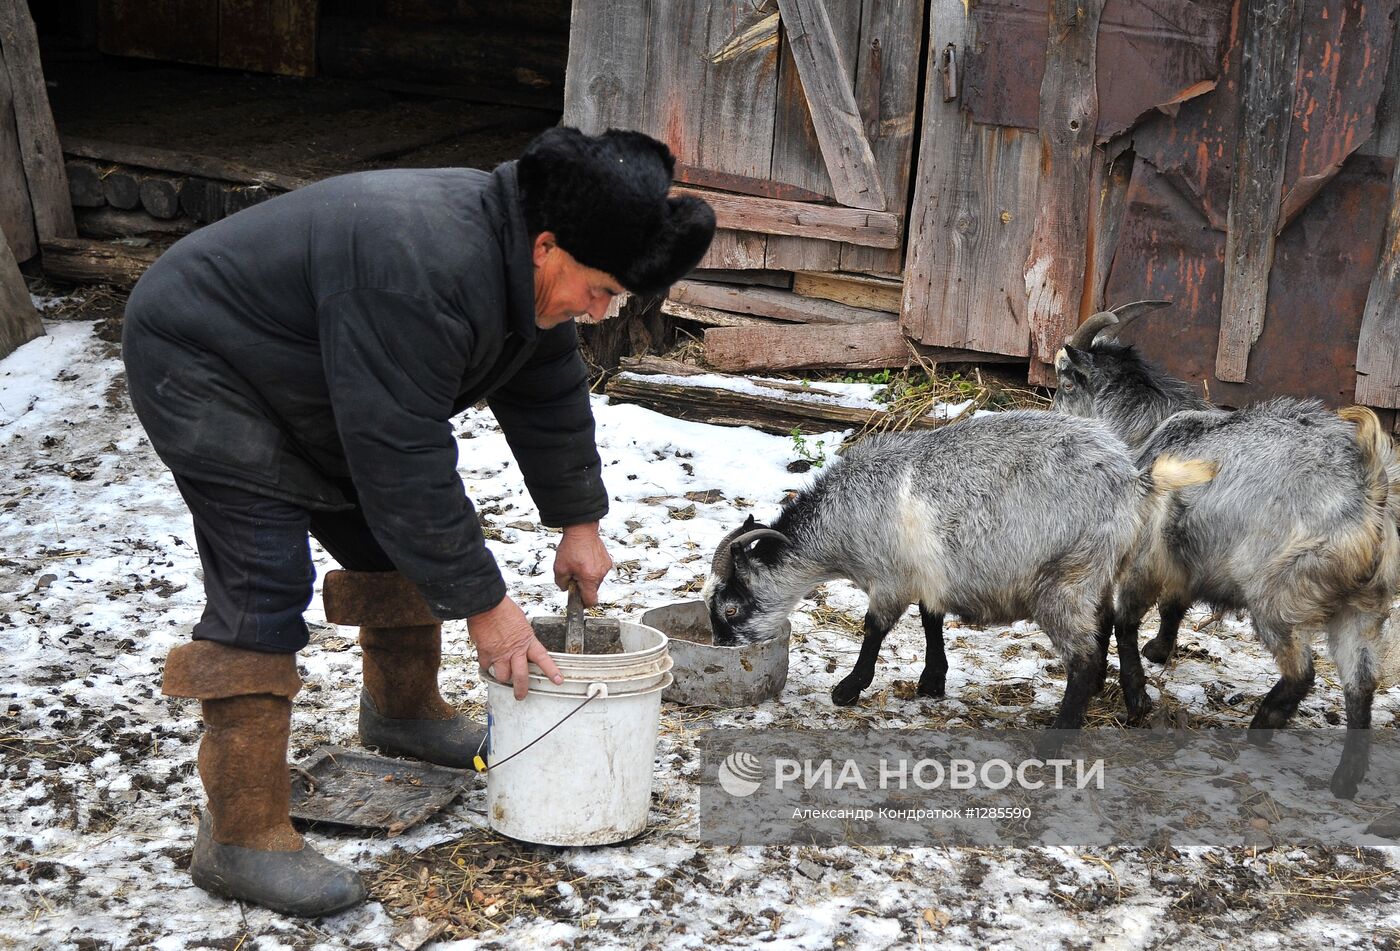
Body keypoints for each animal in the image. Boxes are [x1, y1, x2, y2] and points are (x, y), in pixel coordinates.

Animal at [700, 411, 1215, 733]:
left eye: (731, 606)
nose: (723, 648)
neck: (842, 522)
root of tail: (1133, 480)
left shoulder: (890, 579)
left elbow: (874, 629)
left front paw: (848, 689)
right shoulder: (928, 576)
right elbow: (931, 620)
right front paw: (932, 682)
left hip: (1065, 578)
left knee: (1085, 657)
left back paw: (1058, 736)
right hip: (1102, 571)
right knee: (1112, 626)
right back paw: (1130, 700)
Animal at [1052, 302, 1394, 795]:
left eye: (1065, 382)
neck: (1152, 430)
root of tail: (1368, 491)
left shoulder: (1145, 557)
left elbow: (1123, 621)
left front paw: (1136, 698)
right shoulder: (1185, 557)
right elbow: (1174, 606)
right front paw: (1160, 652)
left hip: (1280, 594)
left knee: (1302, 671)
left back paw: (1263, 725)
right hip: (1363, 607)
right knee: (1361, 684)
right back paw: (1345, 780)